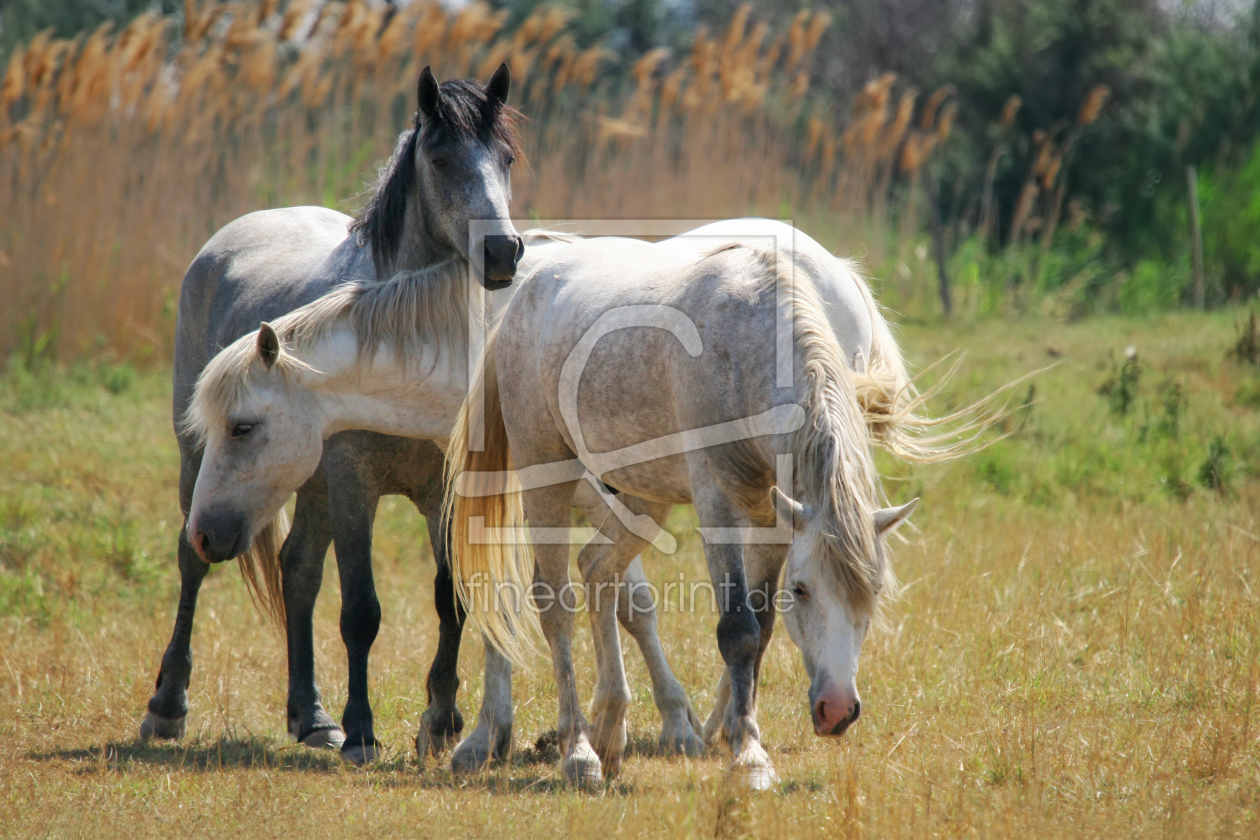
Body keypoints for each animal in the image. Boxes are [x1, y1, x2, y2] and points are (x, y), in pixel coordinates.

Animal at [143, 62, 521, 765]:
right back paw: (167, 707)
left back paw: (311, 716)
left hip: (306, 480)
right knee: (193, 559)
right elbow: (361, 611)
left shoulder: (445, 491)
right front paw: (364, 730)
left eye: (506, 159)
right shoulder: (353, 486)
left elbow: (448, 599)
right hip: (202, 466)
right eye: (441, 159)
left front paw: (439, 721)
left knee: (297, 572)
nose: (503, 253)